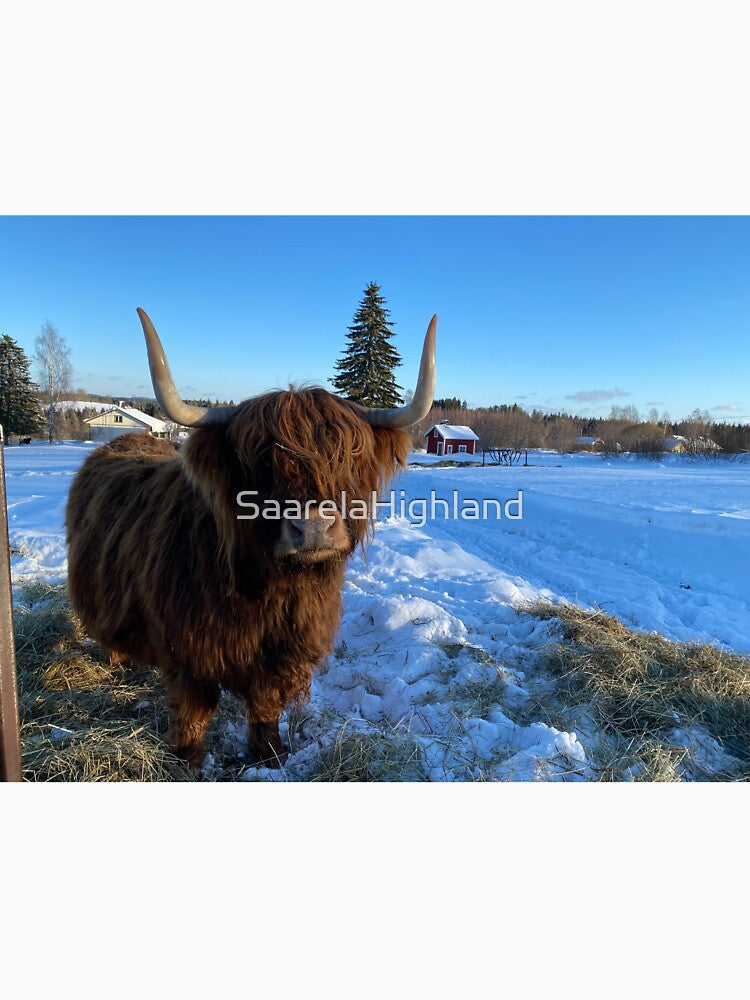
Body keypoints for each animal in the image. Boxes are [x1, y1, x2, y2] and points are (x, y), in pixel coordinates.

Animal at [66, 308, 436, 769]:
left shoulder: (285, 652)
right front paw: (186, 761)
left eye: (349, 457)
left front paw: (269, 755)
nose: (313, 527)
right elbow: (194, 711)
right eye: (258, 462)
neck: (273, 590)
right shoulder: (189, 651)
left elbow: (265, 705)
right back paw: (120, 666)